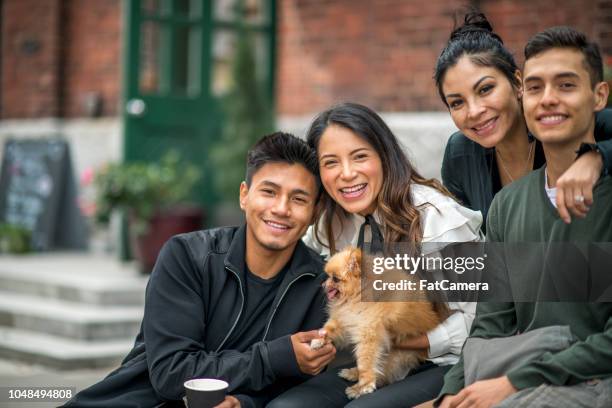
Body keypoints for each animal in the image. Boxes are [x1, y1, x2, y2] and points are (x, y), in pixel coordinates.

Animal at [310, 247, 444, 400]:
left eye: (335, 279)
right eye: (327, 276)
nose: (323, 285)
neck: (358, 294)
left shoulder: (368, 332)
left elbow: (365, 362)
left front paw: (363, 387)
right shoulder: (345, 319)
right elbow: (328, 328)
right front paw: (318, 340)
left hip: (396, 355)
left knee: (380, 371)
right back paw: (352, 373)